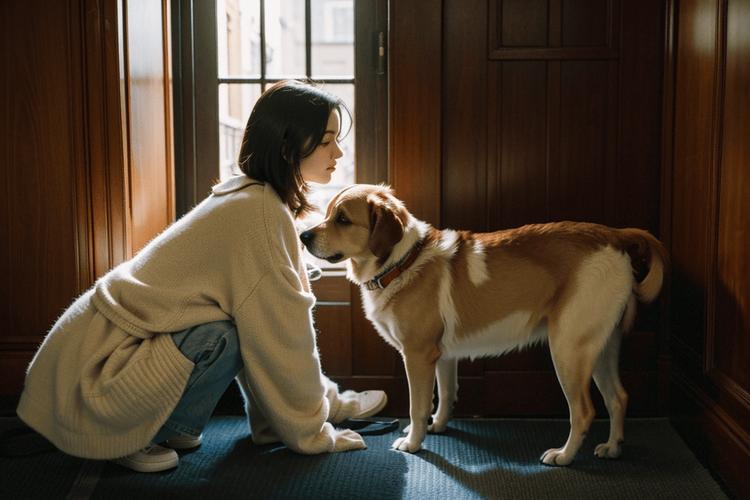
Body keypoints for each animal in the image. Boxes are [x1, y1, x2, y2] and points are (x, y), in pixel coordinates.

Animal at [300, 184, 668, 464]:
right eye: (328, 213)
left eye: (342, 219)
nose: (302, 235)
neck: (402, 262)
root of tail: (612, 235)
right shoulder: (443, 357)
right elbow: (445, 395)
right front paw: (437, 425)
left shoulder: (417, 356)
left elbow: (417, 405)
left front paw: (414, 443)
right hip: (601, 347)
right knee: (618, 398)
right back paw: (613, 447)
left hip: (568, 349)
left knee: (585, 411)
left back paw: (564, 456)